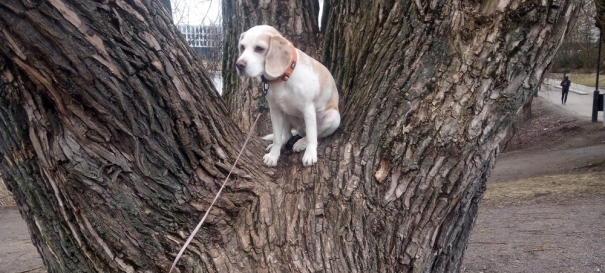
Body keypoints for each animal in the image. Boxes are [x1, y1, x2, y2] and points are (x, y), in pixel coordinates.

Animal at [235, 25, 340, 166]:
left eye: (259, 48)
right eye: (242, 47)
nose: (239, 65)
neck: (283, 77)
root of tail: (300, 130)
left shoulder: (308, 108)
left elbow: (312, 135)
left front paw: (310, 154)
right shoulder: (275, 110)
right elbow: (277, 138)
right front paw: (273, 155)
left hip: (333, 117)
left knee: (315, 134)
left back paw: (301, 143)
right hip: (287, 114)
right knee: (287, 135)